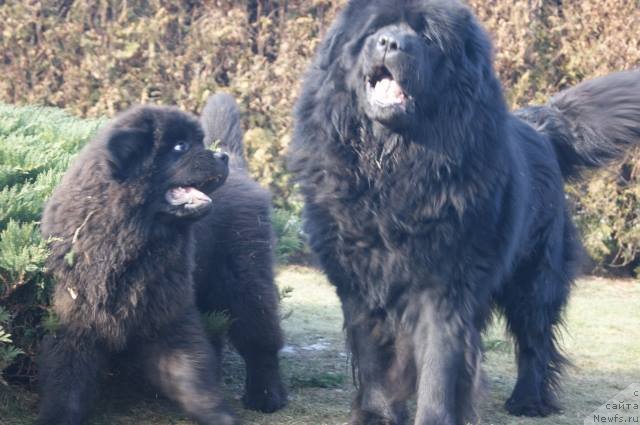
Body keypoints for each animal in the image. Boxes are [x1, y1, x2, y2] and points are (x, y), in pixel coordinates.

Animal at [37, 106, 234, 424]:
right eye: (180, 147)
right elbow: (66, 382)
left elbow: (192, 373)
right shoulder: (76, 320)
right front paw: (56, 417)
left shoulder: (168, 314)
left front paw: (218, 414)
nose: (223, 157)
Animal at [288, 1, 640, 422]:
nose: (389, 43)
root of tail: (540, 126)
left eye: (427, 38)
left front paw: (434, 415)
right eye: (374, 29)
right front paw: (377, 414)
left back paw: (528, 400)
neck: (391, 167)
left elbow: (439, 365)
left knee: (535, 339)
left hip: (535, 276)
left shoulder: (444, 285)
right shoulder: (360, 283)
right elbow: (375, 358)